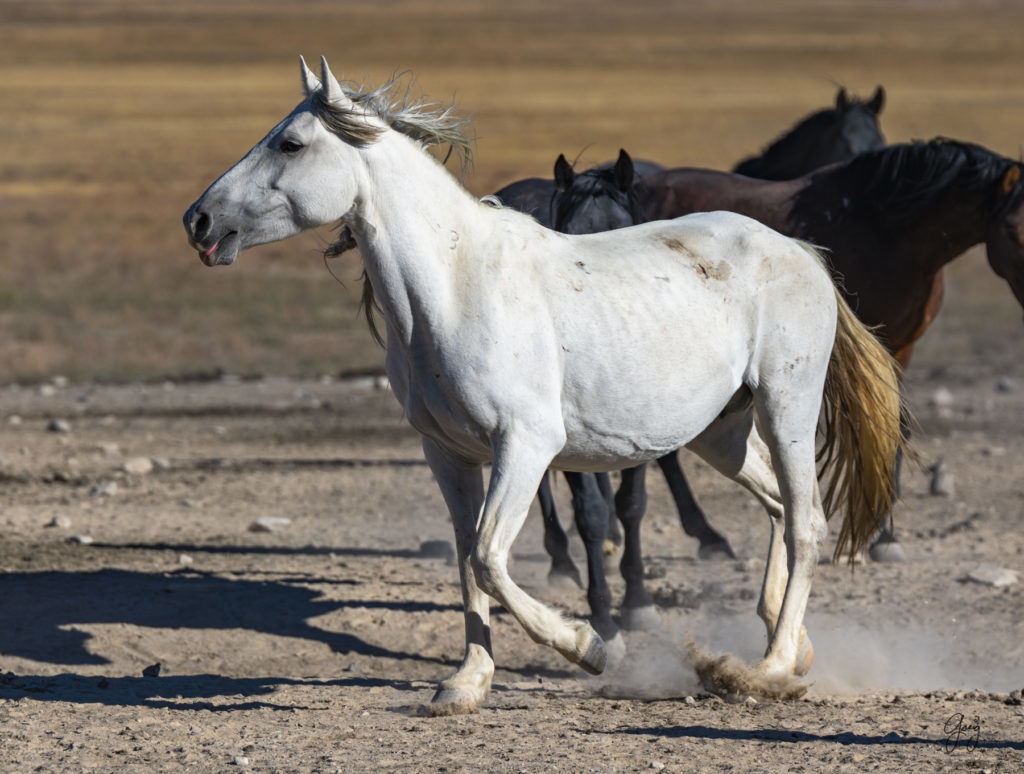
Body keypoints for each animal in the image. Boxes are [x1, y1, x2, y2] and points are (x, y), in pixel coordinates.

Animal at [186, 57, 905, 716]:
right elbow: (466, 560)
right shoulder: (447, 454)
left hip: (787, 407)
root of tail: (797, 251)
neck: (454, 287)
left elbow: (488, 556)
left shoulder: (526, 446)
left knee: (807, 522)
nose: (198, 220)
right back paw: (796, 644)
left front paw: (592, 647)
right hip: (720, 432)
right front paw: (467, 682)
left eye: (291, 143)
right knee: (781, 508)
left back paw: (770, 668)